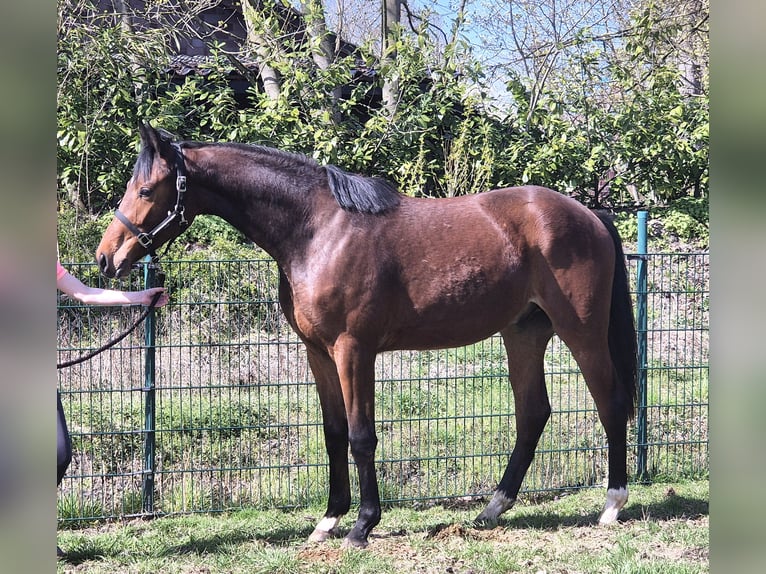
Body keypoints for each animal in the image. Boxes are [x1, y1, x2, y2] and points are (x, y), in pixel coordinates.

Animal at [96, 123, 637, 548]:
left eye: (146, 191)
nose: (106, 258)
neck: (318, 230)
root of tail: (589, 214)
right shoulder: (317, 353)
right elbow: (334, 433)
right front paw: (328, 520)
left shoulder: (353, 350)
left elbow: (361, 436)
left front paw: (362, 525)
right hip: (522, 333)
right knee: (533, 413)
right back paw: (492, 508)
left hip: (581, 331)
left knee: (610, 402)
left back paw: (612, 504)